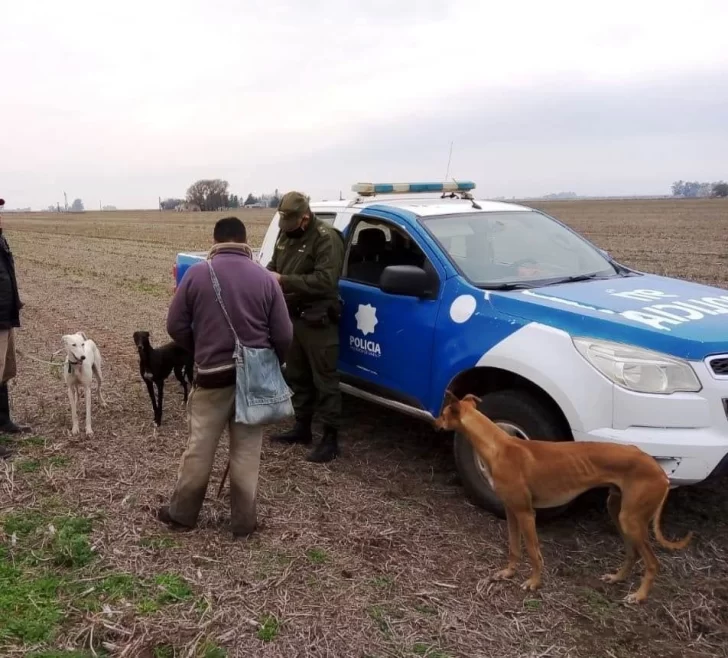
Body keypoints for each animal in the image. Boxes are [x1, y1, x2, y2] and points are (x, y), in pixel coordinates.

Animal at [436, 390, 692, 600]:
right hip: (619, 512)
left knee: (653, 563)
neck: (499, 446)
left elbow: (533, 551)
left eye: (443, 413)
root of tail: (660, 472)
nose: (435, 424)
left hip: (631, 520)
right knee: (633, 554)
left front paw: (534, 582)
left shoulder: (526, 513)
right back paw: (617, 578)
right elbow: (514, 547)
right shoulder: (511, 511)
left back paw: (639, 596)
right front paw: (508, 572)